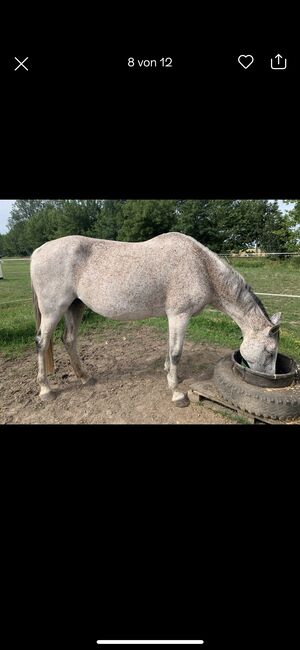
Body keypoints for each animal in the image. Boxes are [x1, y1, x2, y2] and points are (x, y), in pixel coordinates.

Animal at [30, 233, 282, 402]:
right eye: (270, 352)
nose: (269, 381)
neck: (201, 267)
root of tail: (37, 251)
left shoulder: (172, 317)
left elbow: (169, 348)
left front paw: (169, 374)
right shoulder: (180, 316)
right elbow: (176, 352)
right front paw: (177, 393)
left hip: (75, 306)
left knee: (69, 339)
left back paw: (85, 377)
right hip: (53, 310)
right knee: (42, 342)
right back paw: (46, 390)